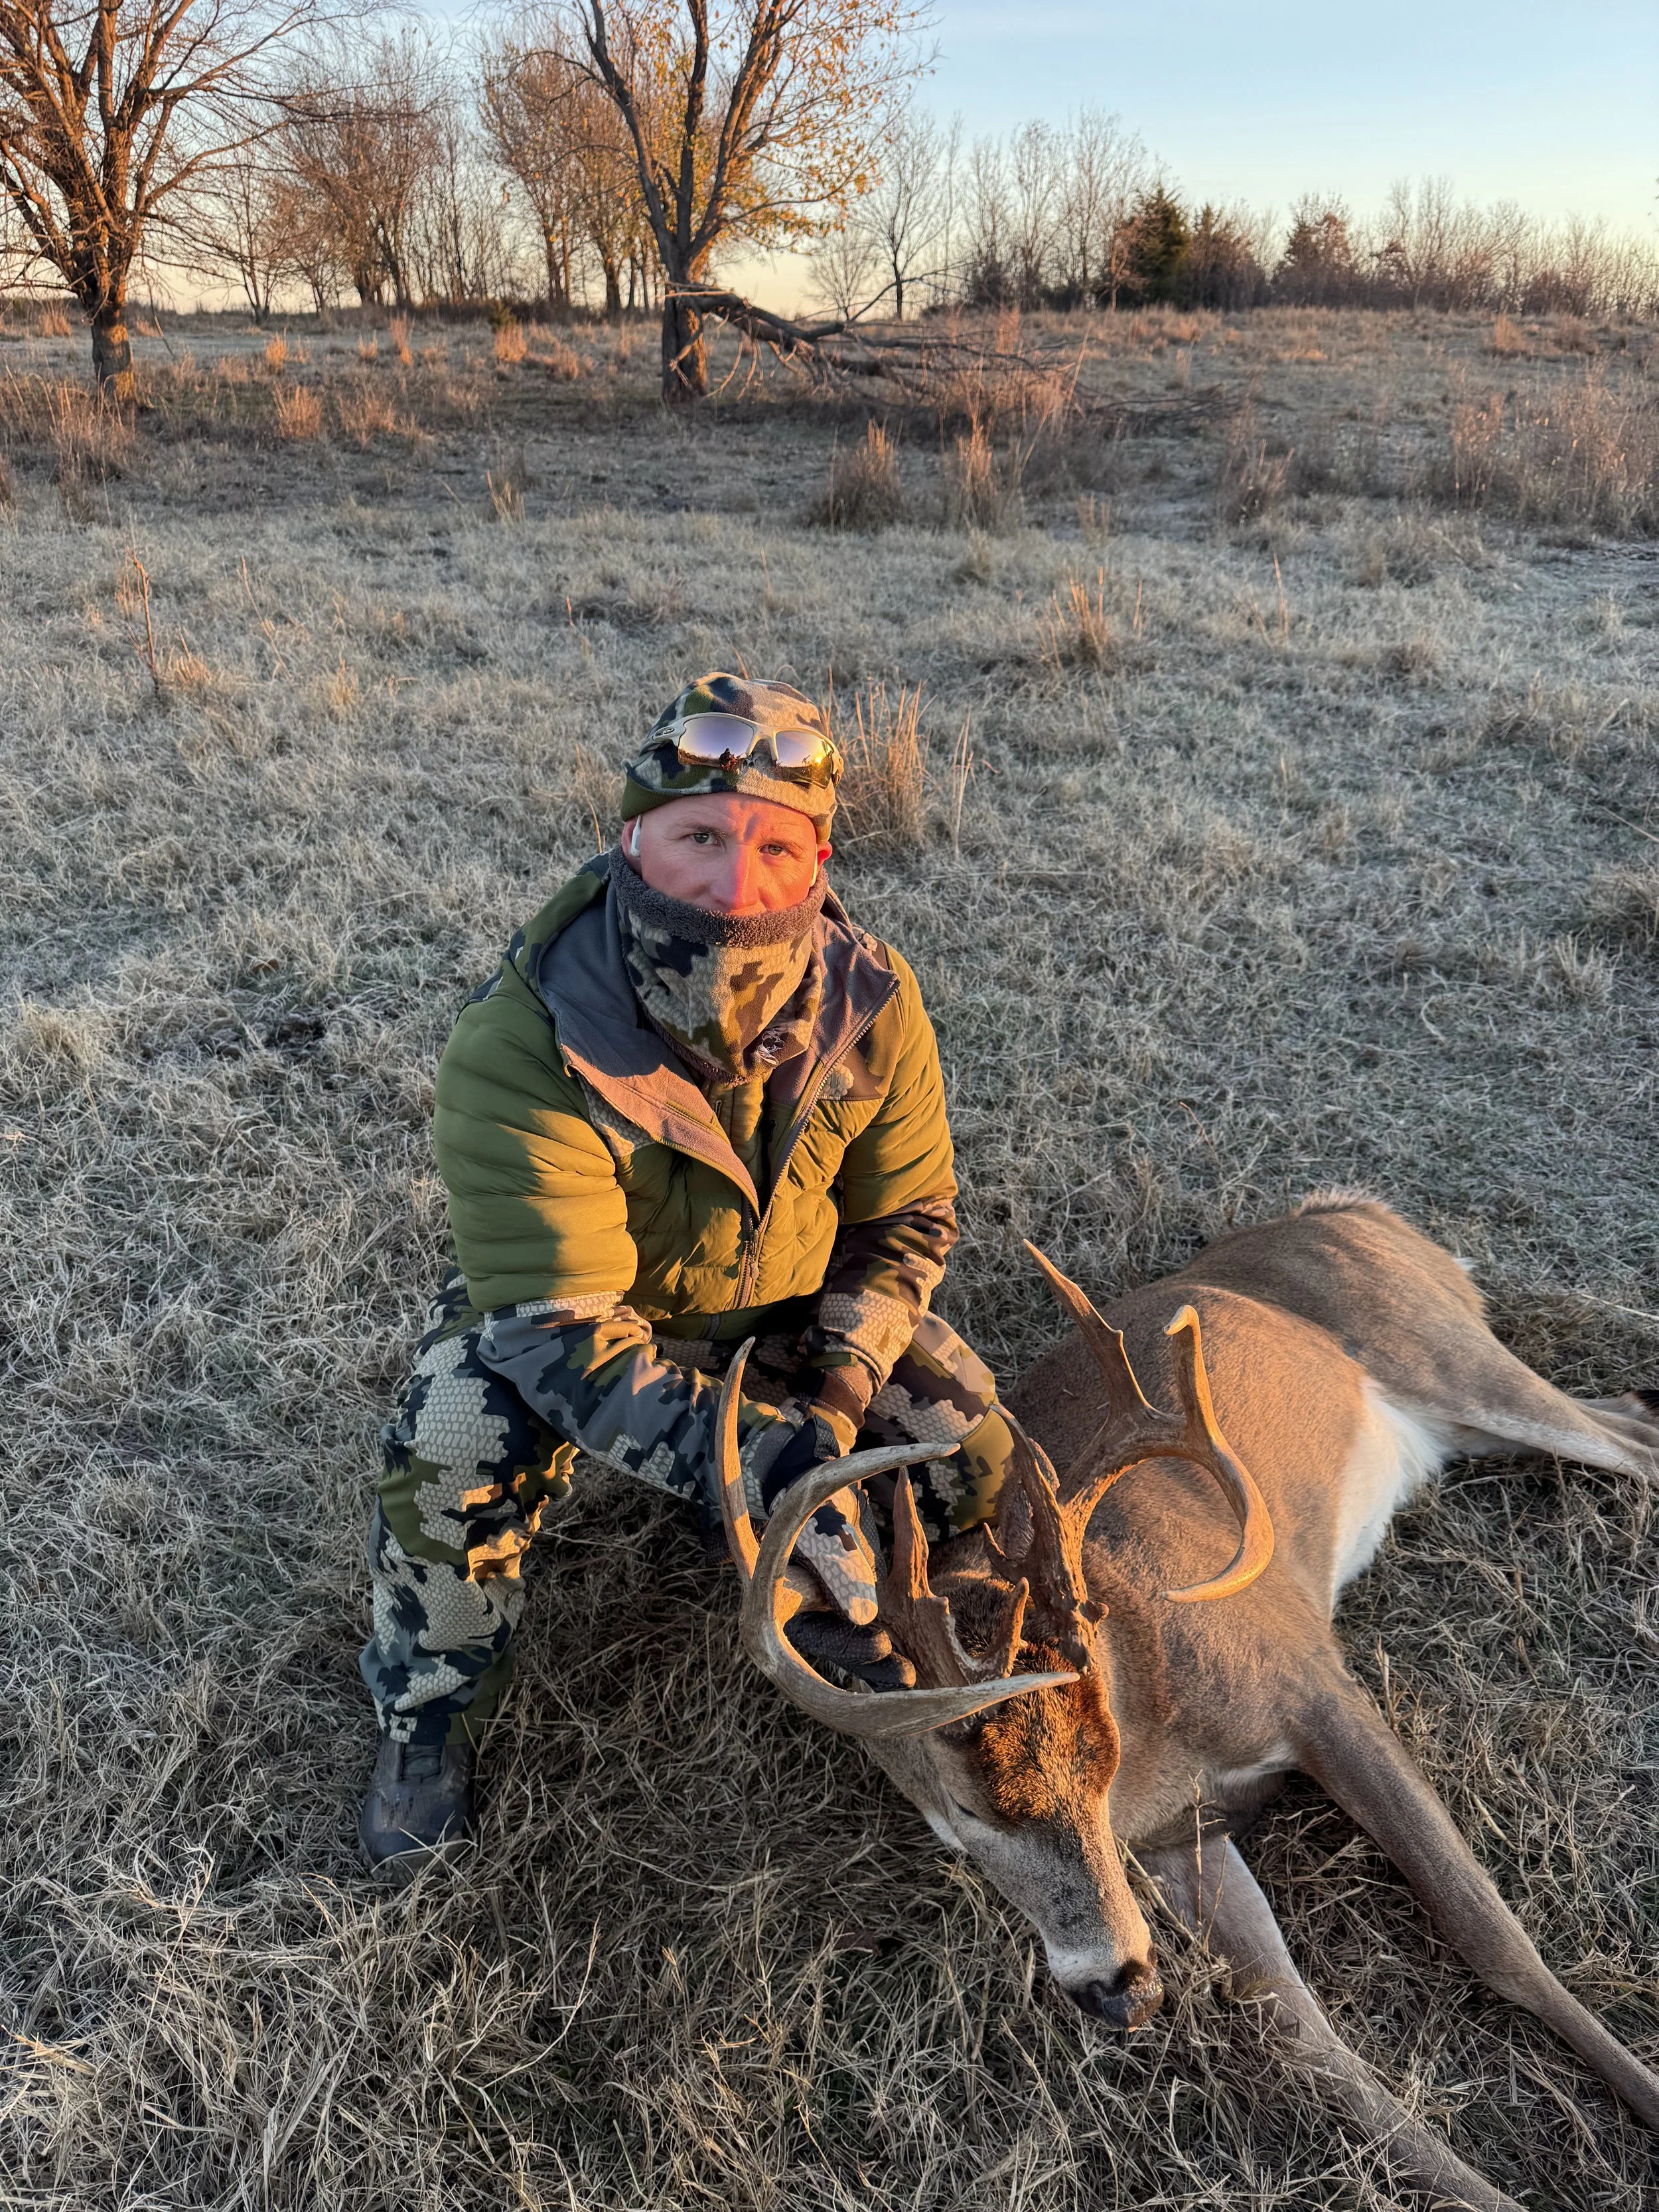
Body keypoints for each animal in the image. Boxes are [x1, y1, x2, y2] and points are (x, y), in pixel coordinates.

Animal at [714, 1191, 1659, 2212]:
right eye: (961, 1812)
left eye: (1100, 1760)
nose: (1120, 1989)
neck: (1155, 1737)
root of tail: (1355, 1210)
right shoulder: (1181, 1841)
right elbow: (1307, 2046)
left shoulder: (1310, 1679)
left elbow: (1490, 1932)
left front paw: (1643, 2098)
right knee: (1632, 1416)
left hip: (1445, 1354)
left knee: (1630, 1445)